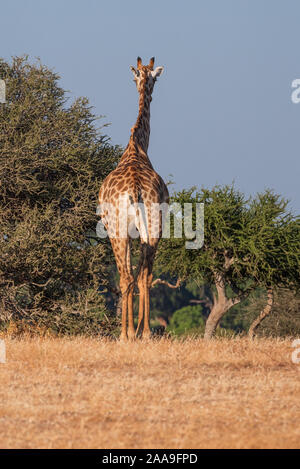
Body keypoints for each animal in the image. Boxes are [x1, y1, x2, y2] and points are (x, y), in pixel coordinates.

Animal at [98, 56, 169, 340]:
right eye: (139, 77)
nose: (149, 85)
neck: (137, 146)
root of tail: (136, 188)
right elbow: (143, 275)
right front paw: (138, 330)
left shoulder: (118, 230)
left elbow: (127, 276)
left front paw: (129, 331)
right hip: (153, 225)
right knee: (143, 276)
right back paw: (143, 332)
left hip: (118, 229)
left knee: (127, 276)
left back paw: (126, 334)